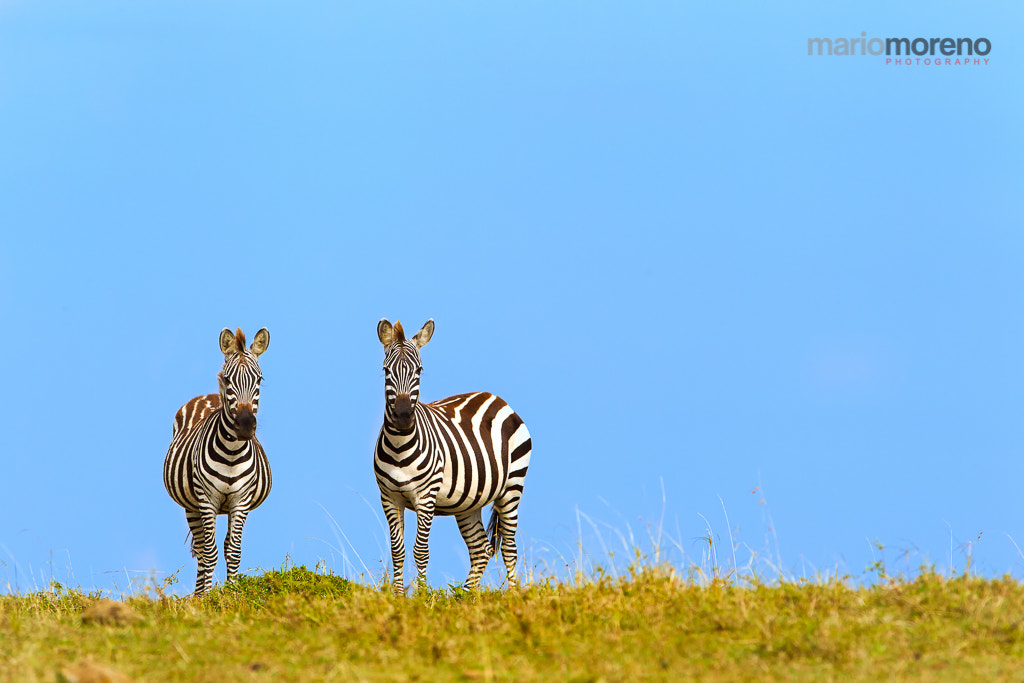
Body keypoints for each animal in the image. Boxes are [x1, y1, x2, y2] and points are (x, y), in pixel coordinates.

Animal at [163, 327, 272, 596]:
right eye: (228, 379)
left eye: (259, 379)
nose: (245, 427)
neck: (231, 453)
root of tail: (208, 395)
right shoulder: (206, 499)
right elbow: (210, 553)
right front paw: (207, 598)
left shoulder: (241, 500)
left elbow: (233, 551)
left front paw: (233, 594)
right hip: (190, 505)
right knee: (203, 548)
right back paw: (199, 594)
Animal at [374, 318, 532, 594]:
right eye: (386, 371)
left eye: (419, 371)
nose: (404, 418)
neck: (399, 446)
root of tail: (496, 398)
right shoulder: (389, 497)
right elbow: (397, 551)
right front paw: (398, 597)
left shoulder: (426, 496)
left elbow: (420, 551)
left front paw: (422, 597)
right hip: (470, 501)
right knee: (481, 549)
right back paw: (463, 597)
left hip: (512, 486)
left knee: (509, 549)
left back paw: (513, 596)